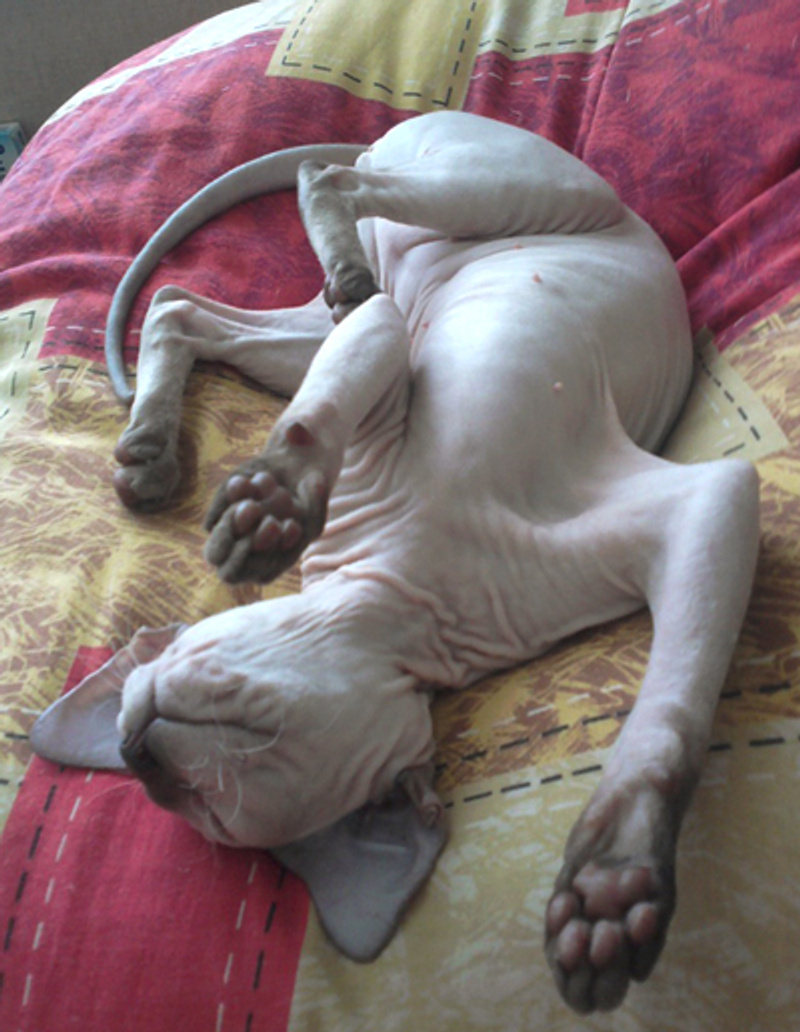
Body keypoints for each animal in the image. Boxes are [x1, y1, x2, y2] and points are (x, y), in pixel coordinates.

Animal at [32, 111, 760, 1012]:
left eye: (210, 803)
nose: (137, 754)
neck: (418, 600)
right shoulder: (381, 359)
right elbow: (315, 418)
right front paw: (272, 499)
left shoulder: (705, 504)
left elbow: (671, 718)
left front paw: (611, 886)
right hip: (389, 281)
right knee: (236, 272)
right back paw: (154, 443)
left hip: (494, 207)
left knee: (272, 235)